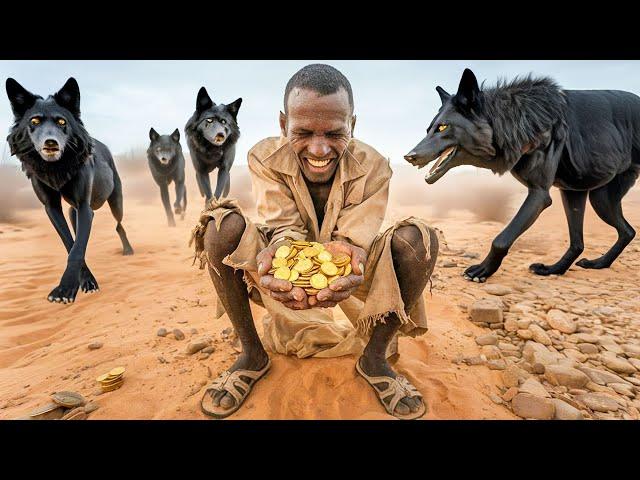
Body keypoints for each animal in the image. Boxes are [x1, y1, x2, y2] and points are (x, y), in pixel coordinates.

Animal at [5, 79, 133, 304]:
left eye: (61, 122)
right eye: (34, 121)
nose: (50, 143)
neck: (56, 168)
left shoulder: (84, 206)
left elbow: (76, 249)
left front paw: (65, 290)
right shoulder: (52, 208)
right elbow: (71, 243)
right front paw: (85, 281)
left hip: (116, 203)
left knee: (119, 225)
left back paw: (128, 250)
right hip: (76, 210)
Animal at [408, 69, 636, 284]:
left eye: (443, 127)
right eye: (428, 129)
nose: (409, 156)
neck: (519, 122)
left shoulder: (540, 194)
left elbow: (501, 239)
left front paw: (483, 271)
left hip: (599, 200)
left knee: (625, 232)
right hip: (578, 195)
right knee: (590, 240)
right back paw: (565, 268)